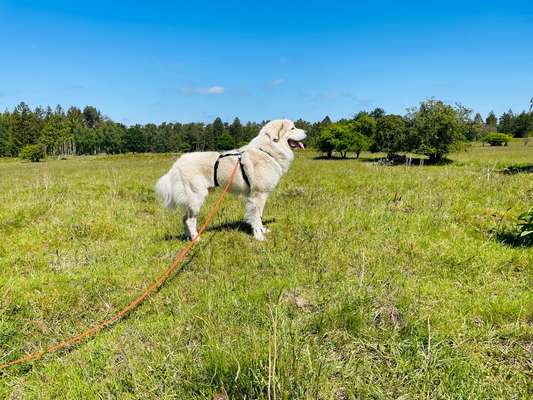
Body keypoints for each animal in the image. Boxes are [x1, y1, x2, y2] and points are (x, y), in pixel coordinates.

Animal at [156, 119, 306, 241]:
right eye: (292, 128)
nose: (307, 132)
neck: (267, 151)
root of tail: (178, 163)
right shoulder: (257, 195)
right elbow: (256, 216)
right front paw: (258, 236)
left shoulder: (261, 196)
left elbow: (260, 215)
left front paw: (263, 230)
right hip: (197, 197)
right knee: (190, 220)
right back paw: (196, 239)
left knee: (184, 219)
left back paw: (188, 238)